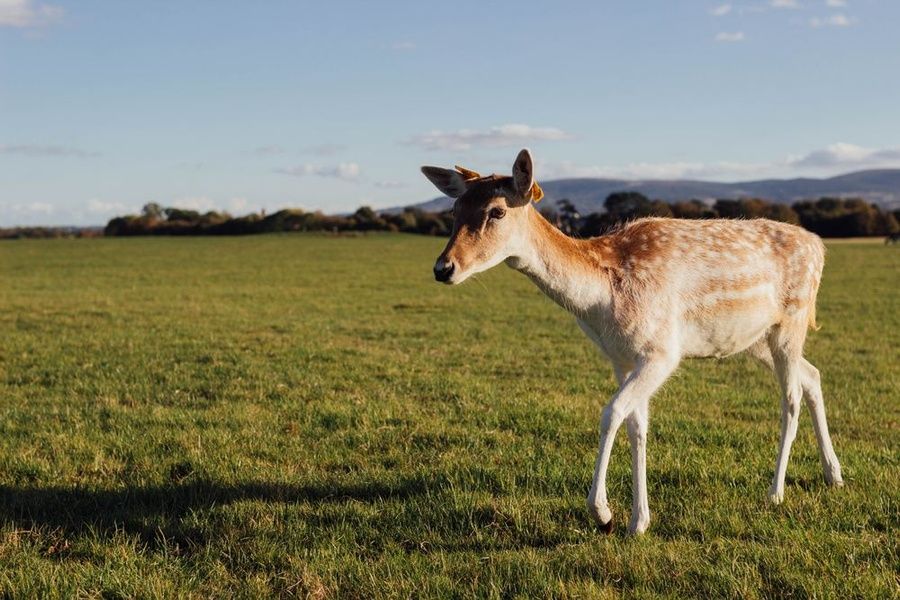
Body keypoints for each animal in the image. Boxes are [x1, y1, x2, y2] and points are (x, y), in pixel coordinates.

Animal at [422, 149, 844, 536]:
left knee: (790, 397)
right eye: (455, 208)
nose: (443, 268)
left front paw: (604, 513)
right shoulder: (621, 357)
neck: (602, 301)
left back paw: (775, 492)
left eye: (496, 211)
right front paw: (638, 521)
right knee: (812, 375)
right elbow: (636, 425)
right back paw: (833, 474)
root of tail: (820, 247)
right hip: (756, 339)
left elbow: (611, 413)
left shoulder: (662, 352)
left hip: (791, 323)